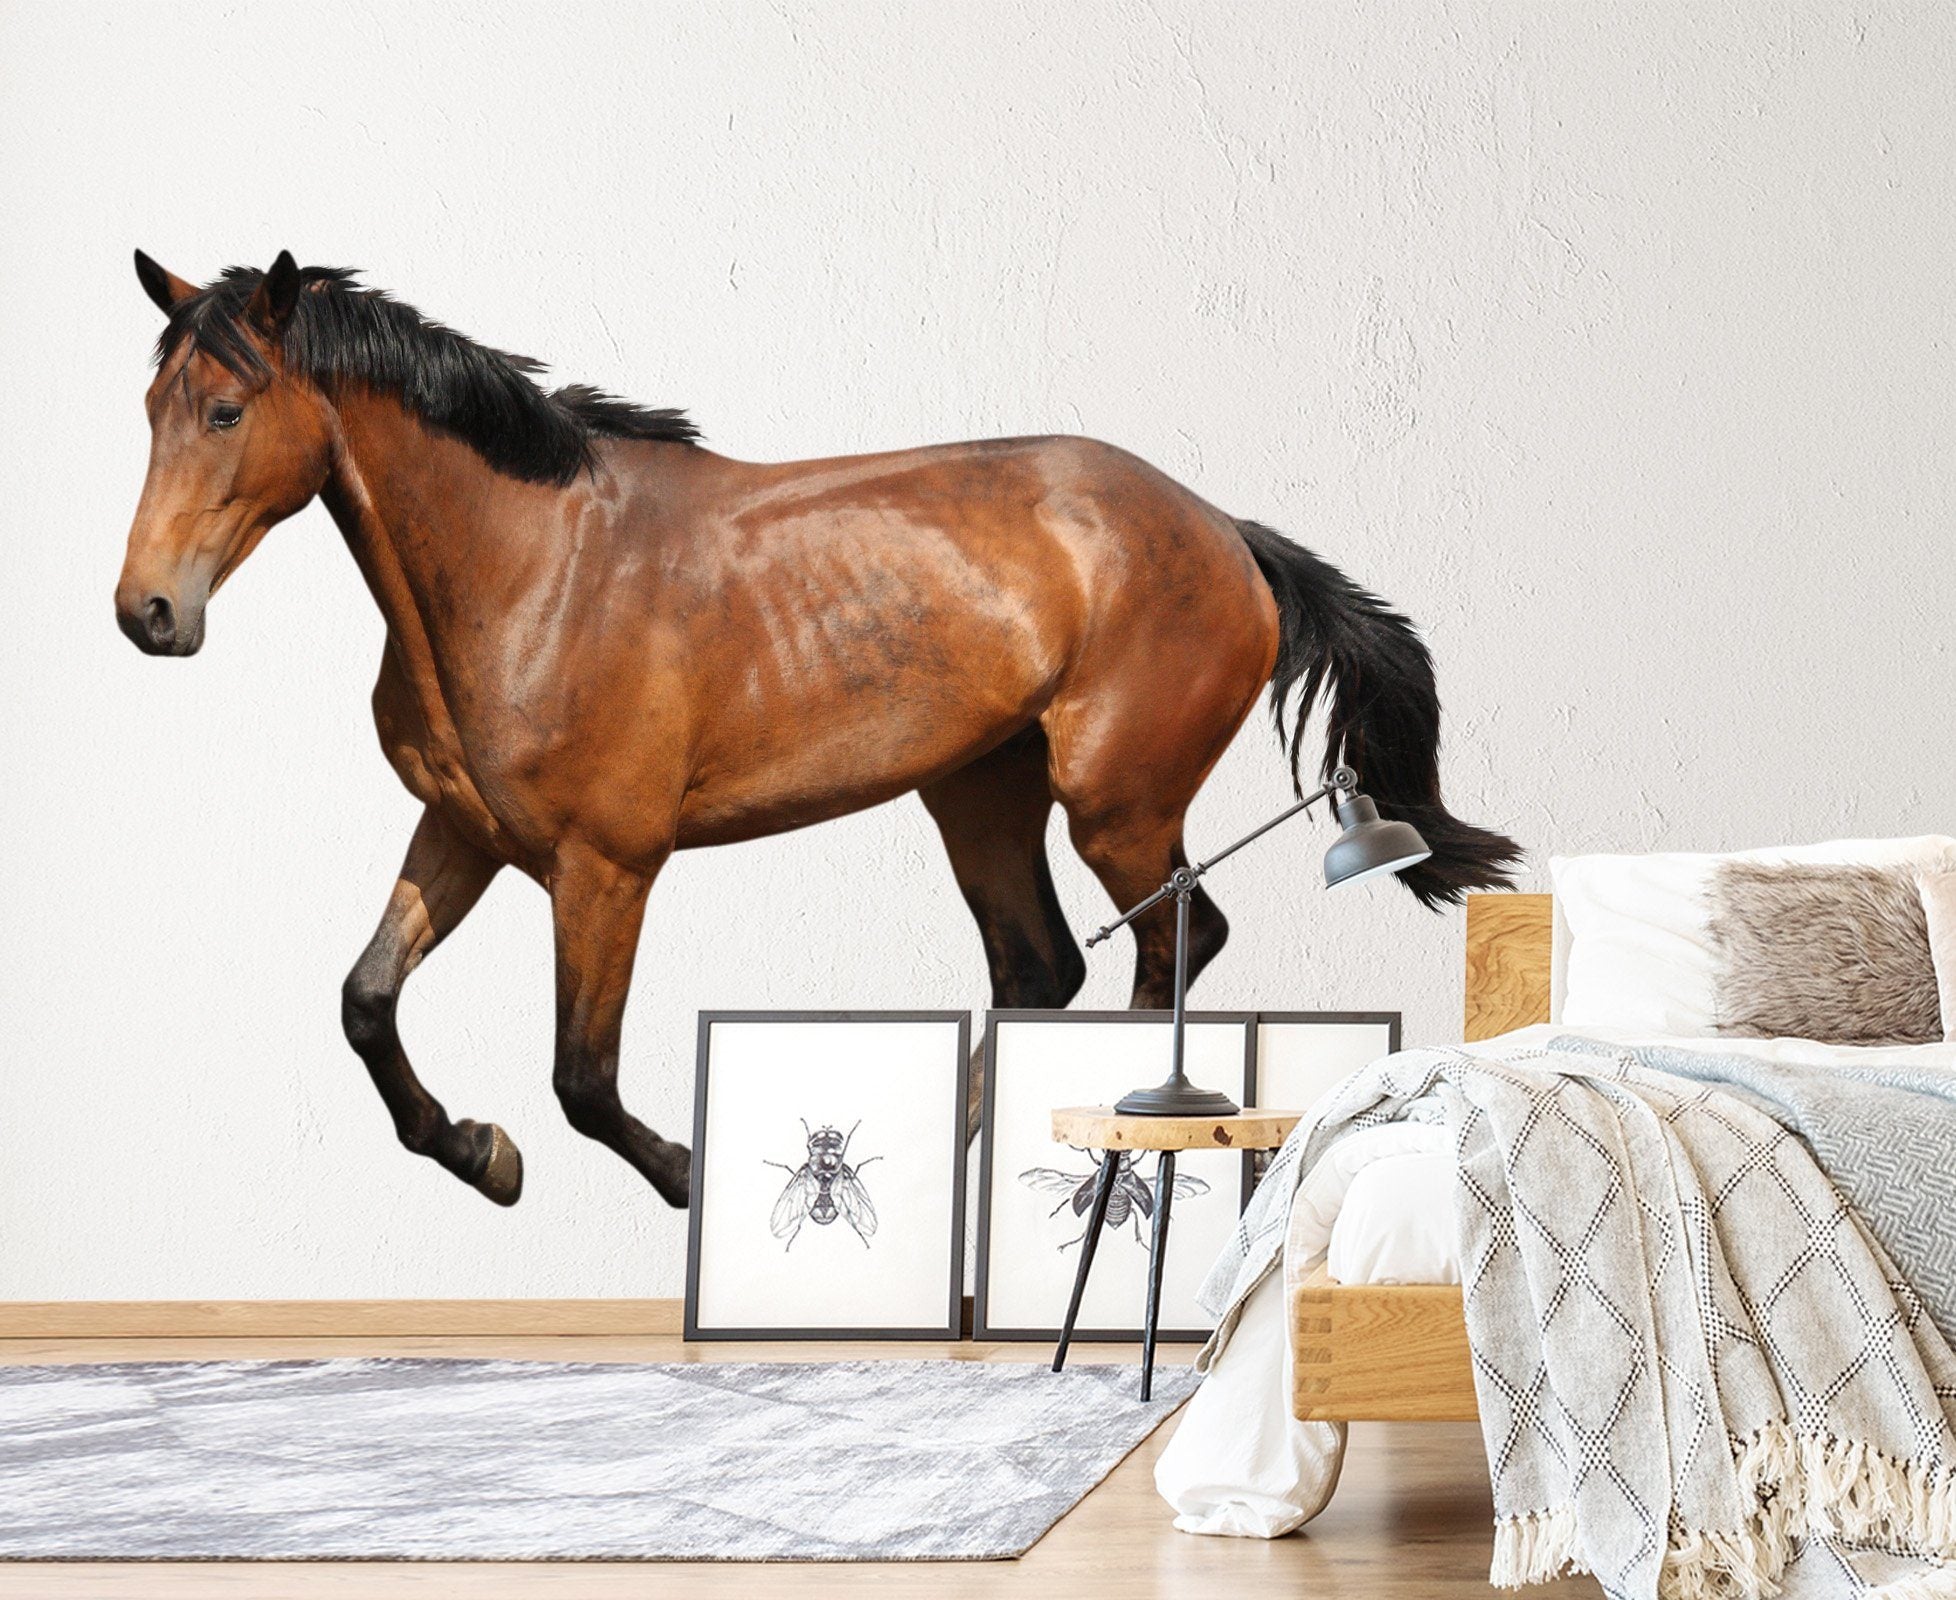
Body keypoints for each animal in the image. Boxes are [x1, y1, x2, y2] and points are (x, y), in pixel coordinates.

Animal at [115, 250, 1520, 1211]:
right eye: (151, 409)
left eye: (226, 412)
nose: (148, 612)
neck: (533, 569)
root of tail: (1228, 531)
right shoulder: (462, 831)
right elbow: (366, 1001)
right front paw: (480, 1152)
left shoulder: (605, 867)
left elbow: (584, 1077)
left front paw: (687, 1178)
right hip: (978, 793)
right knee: (1041, 967)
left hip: (1114, 803)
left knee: (1177, 939)